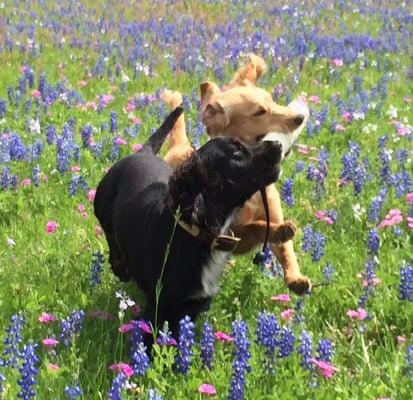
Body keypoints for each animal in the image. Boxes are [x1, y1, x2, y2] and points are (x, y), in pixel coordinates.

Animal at [94, 108, 292, 344]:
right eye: (236, 150)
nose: (278, 144)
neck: (197, 231)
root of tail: (142, 152)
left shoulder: (192, 306)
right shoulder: (159, 305)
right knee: (112, 242)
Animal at [163, 54, 310, 294]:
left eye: (273, 100)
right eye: (259, 112)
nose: (299, 117)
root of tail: (180, 146)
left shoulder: (274, 214)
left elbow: (287, 250)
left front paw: (296, 278)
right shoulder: (230, 236)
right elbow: (257, 227)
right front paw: (280, 231)